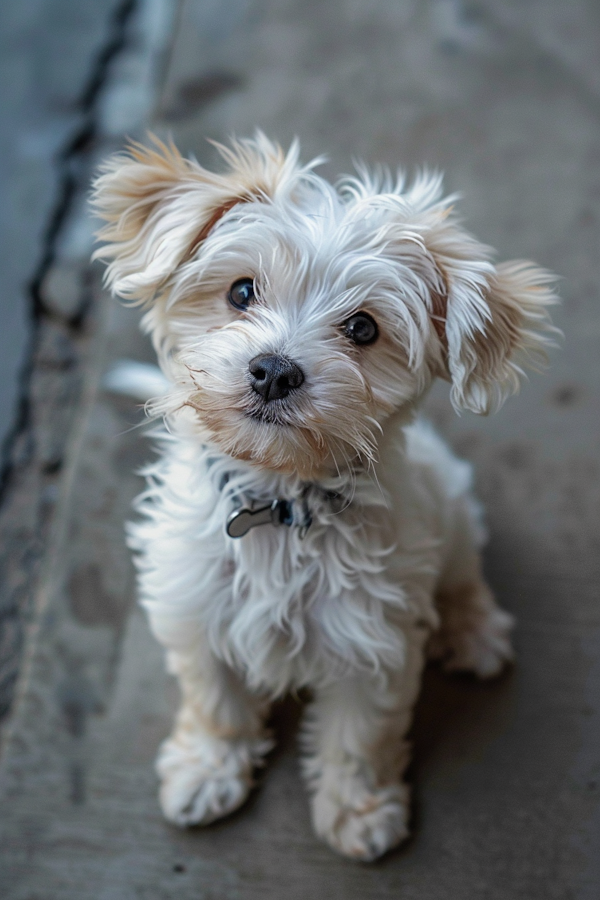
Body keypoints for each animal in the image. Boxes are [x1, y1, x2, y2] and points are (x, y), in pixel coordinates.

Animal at [90, 137, 556, 860]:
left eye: (363, 328)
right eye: (242, 290)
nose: (274, 370)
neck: (280, 505)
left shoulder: (373, 648)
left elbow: (359, 738)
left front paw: (360, 810)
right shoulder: (194, 613)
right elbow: (215, 704)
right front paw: (206, 770)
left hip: (452, 507)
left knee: (464, 575)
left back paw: (473, 631)